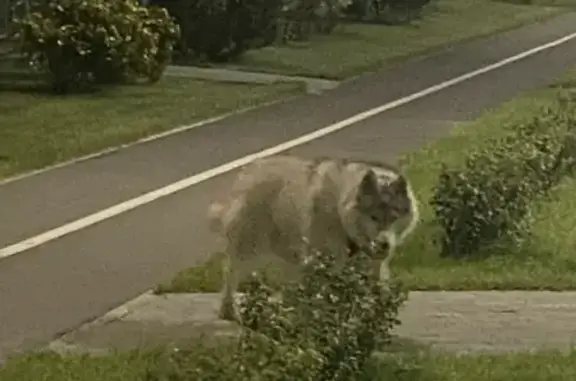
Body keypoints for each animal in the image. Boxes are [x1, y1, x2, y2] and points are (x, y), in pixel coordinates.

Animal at [207, 153, 418, 320]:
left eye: (394, 217)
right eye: (374, 217)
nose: (384, 244)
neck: (340, 212)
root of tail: (247, 171)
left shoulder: (371, 266)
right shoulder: (324, 263)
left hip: (288, 253)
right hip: (251, 249)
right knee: (231, 274)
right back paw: (230, 312)